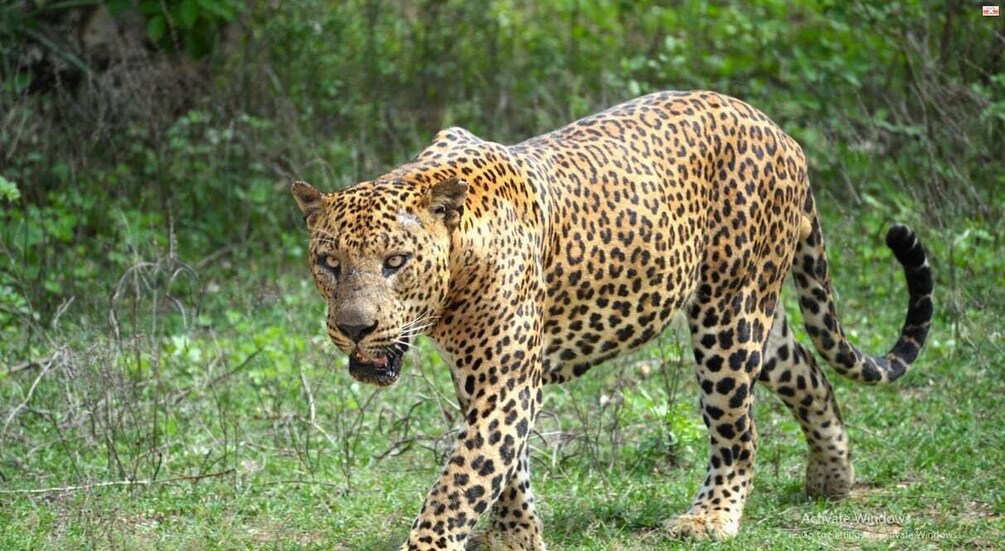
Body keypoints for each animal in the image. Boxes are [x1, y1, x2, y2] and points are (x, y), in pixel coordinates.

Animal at [291, 90, 933, 550]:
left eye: (395, 262)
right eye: (329, 262)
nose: (354, 328)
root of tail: (779, 130)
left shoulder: (506, 380)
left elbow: (462, 480)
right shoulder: (481, 378)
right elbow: (504, 467)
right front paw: (516, 536)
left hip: (728, 318)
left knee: (738, 430)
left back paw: (712, 517)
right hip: (753, 316)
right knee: (808, 372)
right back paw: (832, 477)